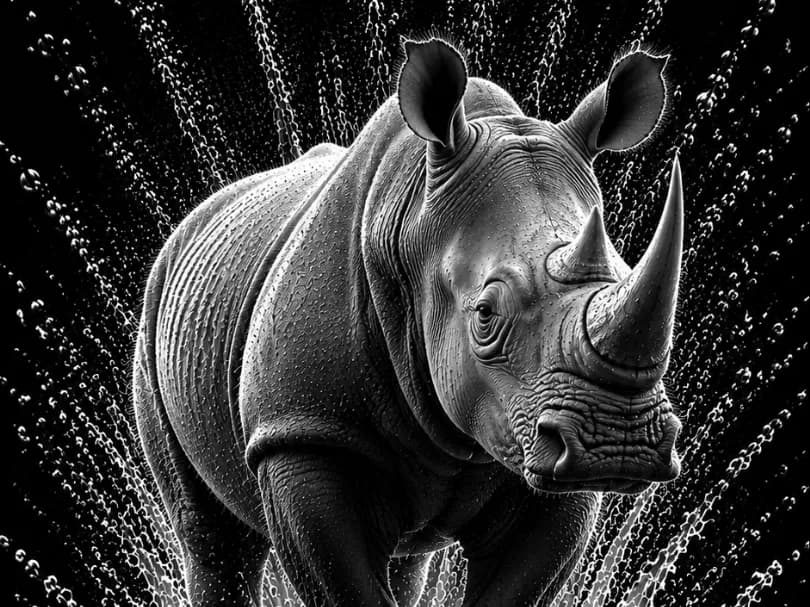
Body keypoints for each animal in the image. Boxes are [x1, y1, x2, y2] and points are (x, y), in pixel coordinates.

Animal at [133, 38, 684, 606]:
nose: (617, 443)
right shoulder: (302, 431)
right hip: (155, 308)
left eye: (625, 276)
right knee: (212, 536)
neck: (411, 217)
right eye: (484, 315)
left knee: (406, 557)